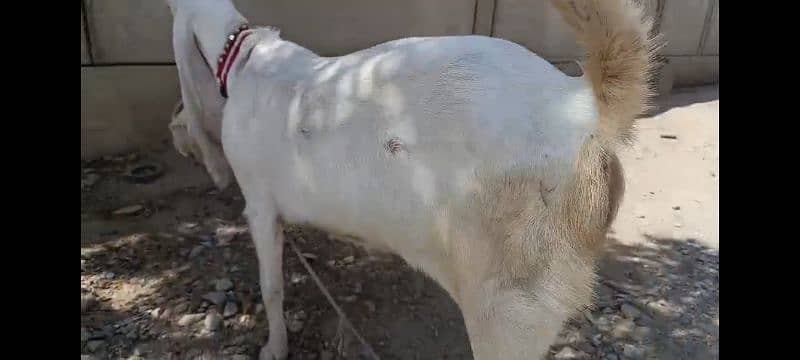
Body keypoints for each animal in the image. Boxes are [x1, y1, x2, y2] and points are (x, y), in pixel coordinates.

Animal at [166, 0, 660, 358]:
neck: (243, 55)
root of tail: (581, 108)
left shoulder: (259, 204)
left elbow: (271, 288)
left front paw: (273, 348)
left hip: (513, 300)